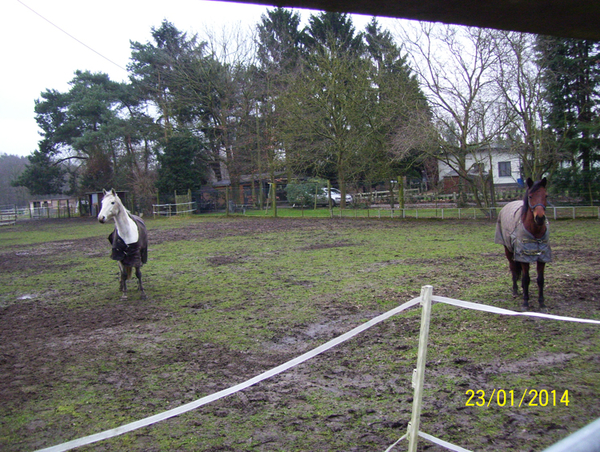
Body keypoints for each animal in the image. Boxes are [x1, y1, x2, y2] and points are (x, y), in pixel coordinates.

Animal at [494, 177, 552, 310]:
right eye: (530, 196)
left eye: (546, 195)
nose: (540, 218)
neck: (535, 232)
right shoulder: (524, 257)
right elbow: (526, 279)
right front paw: (525, 302)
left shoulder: (542, 257)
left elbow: (540, 279)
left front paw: (542, 303)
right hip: (508, 251)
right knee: (513, 269)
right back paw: (515, 290)